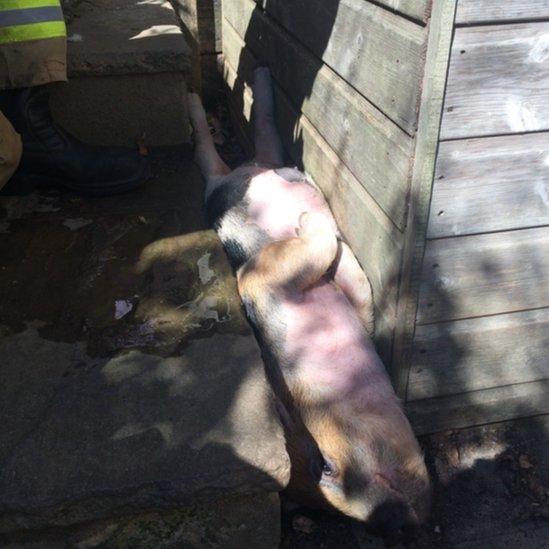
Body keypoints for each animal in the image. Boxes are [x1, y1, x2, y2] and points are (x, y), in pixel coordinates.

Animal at [186, 67, 430, 540]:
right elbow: (316, 248)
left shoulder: (332, 292)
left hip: (249, 165)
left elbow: (360, 284)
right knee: (211, 148)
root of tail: (226, 183)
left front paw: (322, 227)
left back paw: (250, 82)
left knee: (258, 133)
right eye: (326, 468)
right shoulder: (260, 277)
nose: (400, 531)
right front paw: (306, 221)